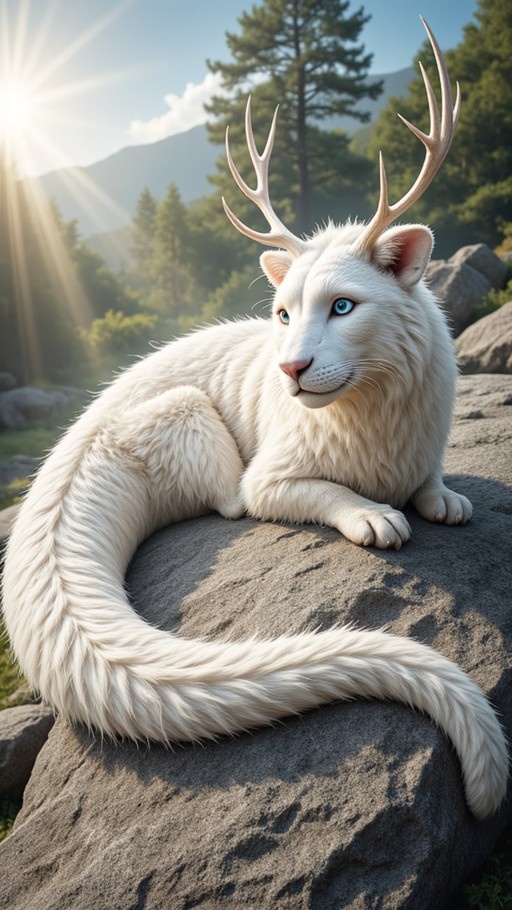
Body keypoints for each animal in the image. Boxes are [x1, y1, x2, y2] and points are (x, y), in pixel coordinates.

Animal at [2, 19, 508, 820]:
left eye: (343, 305)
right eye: (282, 313)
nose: (290, 371)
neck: (371, 418)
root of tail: (63, 460)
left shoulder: (423, 443)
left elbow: (433, 485)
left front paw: (446, 500)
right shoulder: (271, 477)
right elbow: (310, 493)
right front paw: (375, 517)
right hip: (186, 415)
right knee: (230, 503)